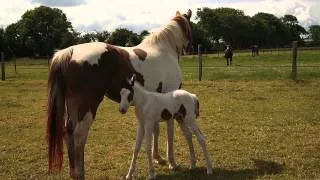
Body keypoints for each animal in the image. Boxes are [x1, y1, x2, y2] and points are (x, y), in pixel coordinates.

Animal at [46, 9, 192, 179]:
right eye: (190, 26)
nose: (189, 48)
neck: (164, 50)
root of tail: (68, 53)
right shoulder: (170, 98)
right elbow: (169, 132)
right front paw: (172, 162)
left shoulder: (157, 101)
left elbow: (156, 129)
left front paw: (158, 158)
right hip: (87, 106)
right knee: (78, 136)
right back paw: (80, 173)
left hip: (72, 104)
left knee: (68, 133)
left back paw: (73, 173)